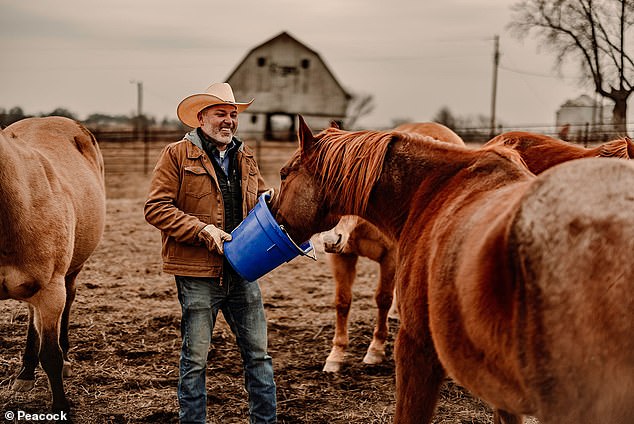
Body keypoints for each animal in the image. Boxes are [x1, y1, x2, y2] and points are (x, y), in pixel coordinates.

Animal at [0, 116, 106, 414]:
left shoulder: (50, 292)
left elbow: (50, 356)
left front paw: (60, 407)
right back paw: (25, 372)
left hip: (67, 275)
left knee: (68, 300)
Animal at [318, 121, 462, 372]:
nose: (329, 240)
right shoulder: (341, 256)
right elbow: (343, 301)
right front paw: (336, 356)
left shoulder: (390, 258)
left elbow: (382, 299)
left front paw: (375, 350)